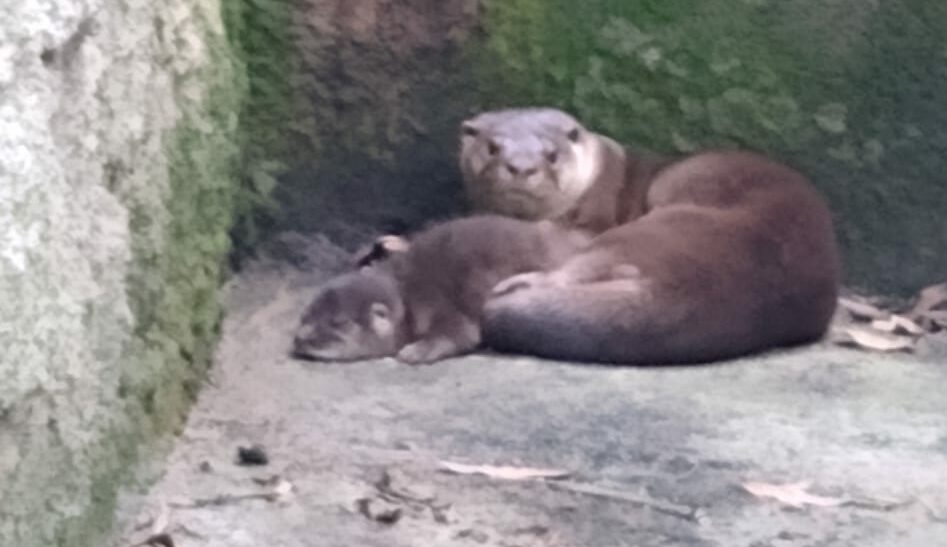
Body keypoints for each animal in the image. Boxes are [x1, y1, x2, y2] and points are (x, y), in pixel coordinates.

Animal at [292, 216, 588, 366]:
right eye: (305, 315)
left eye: (338, 323)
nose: (301, 337)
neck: (408, 297)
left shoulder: (440, 303)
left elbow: (456, 334)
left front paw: (415, 351)